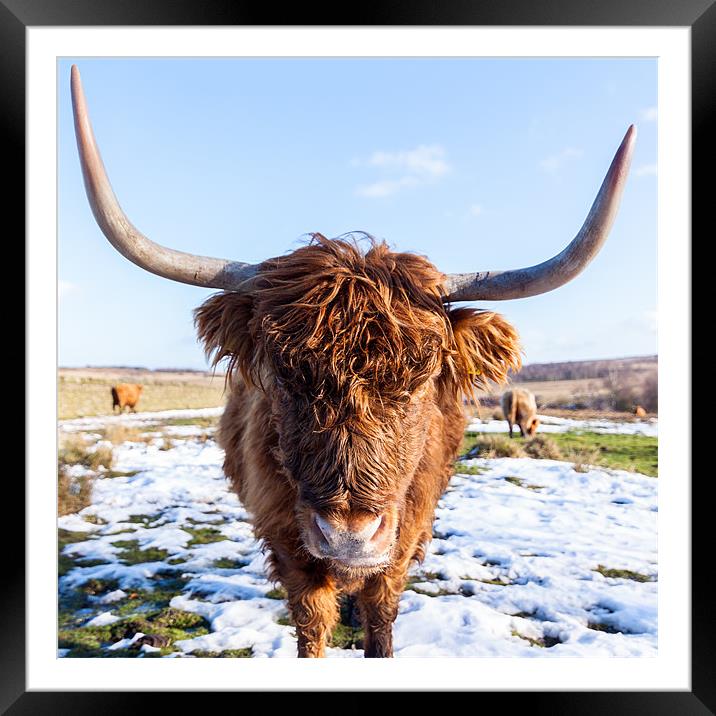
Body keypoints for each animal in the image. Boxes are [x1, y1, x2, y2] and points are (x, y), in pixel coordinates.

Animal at [68, 67, 636, 660]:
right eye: (281, 377)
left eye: (423, 379)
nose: (348, 536)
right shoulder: (292, 548)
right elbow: (311, 625)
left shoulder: (402, 541)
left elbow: (381, 620)